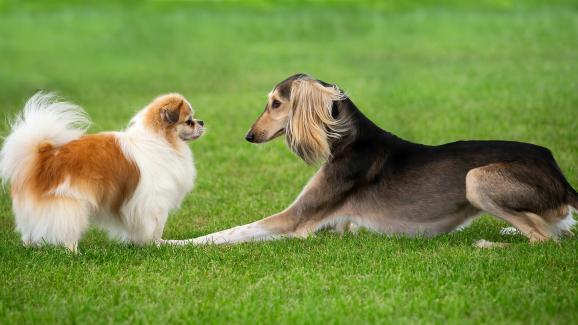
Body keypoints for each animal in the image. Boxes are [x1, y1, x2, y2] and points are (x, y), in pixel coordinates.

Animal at [0, 92, 204, 252]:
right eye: (189, 121)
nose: (201, 122)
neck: (162, 141)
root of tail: (46, 157)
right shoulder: (154, 202)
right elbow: (155, 226)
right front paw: (156, 244)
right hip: (71, 205)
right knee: (67, 234)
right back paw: (74, 253)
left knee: (29, 231)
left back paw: (30, 246)